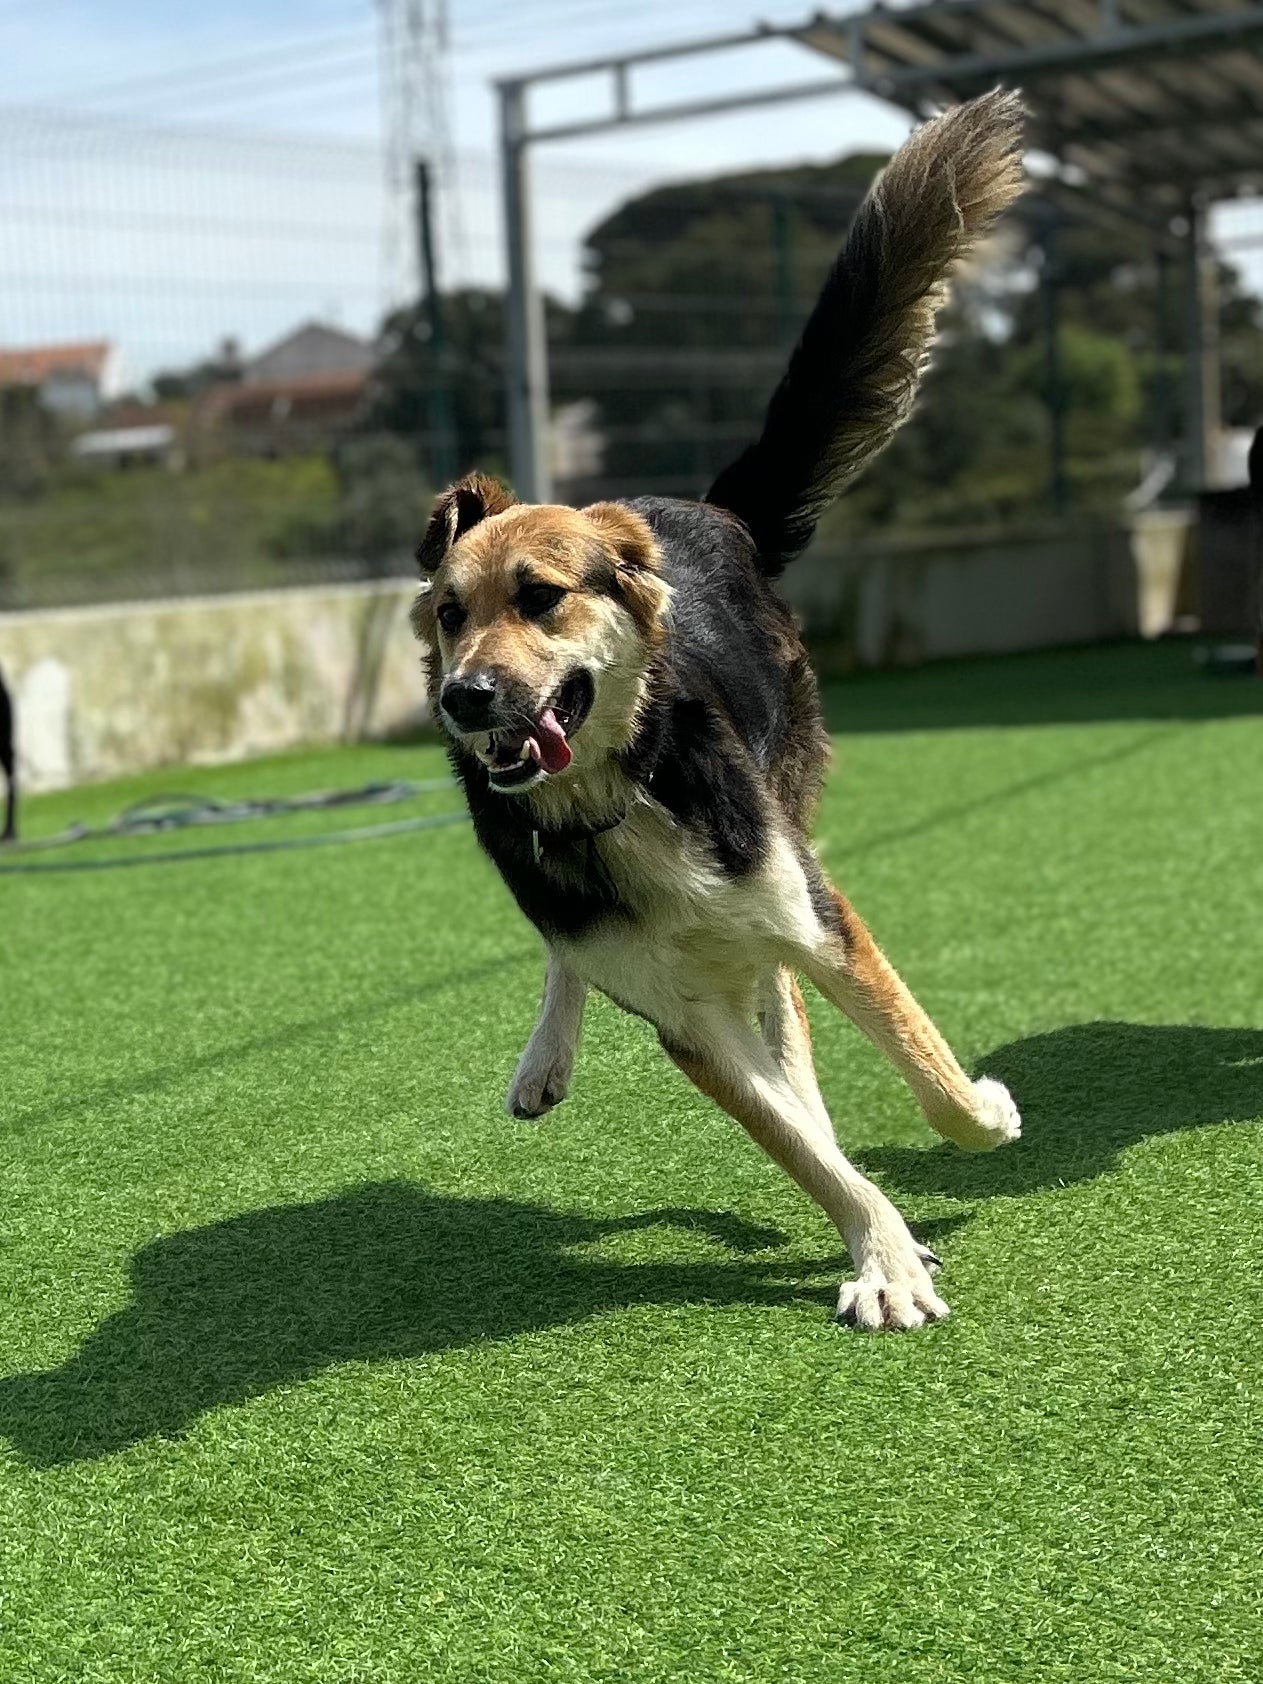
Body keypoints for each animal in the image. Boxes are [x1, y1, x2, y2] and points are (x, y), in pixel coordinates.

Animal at [412, 88, 1030, 1326]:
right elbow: (796, 1144)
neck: (623, 794)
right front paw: (882, 1251)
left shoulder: (814, 910)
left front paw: (978, 1118)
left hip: (783, 810)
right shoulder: (680, 1016)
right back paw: (548, 1057)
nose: (465, 698)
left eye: (540, 597)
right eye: (450, 613)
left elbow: (924, 1079)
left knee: (784, 1009)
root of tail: (709, 509)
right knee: (601, 965)